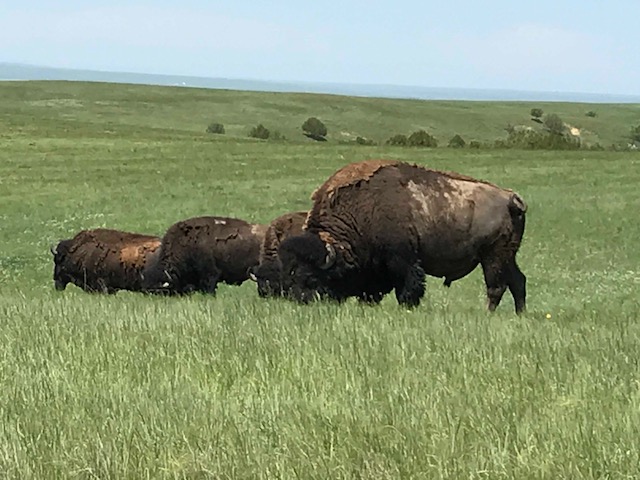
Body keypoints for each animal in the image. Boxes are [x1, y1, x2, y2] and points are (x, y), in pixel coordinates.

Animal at [277, 159, 528, 313]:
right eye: (291, 275)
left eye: (311, 278)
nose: (301, 301)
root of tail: (510, 197)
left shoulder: (403, 259)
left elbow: (409, 286)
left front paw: (407, 306)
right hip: (508, 256)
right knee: (518, 281)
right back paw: (520, 314)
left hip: (493, 256)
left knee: (496, 286)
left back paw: (488, 313)